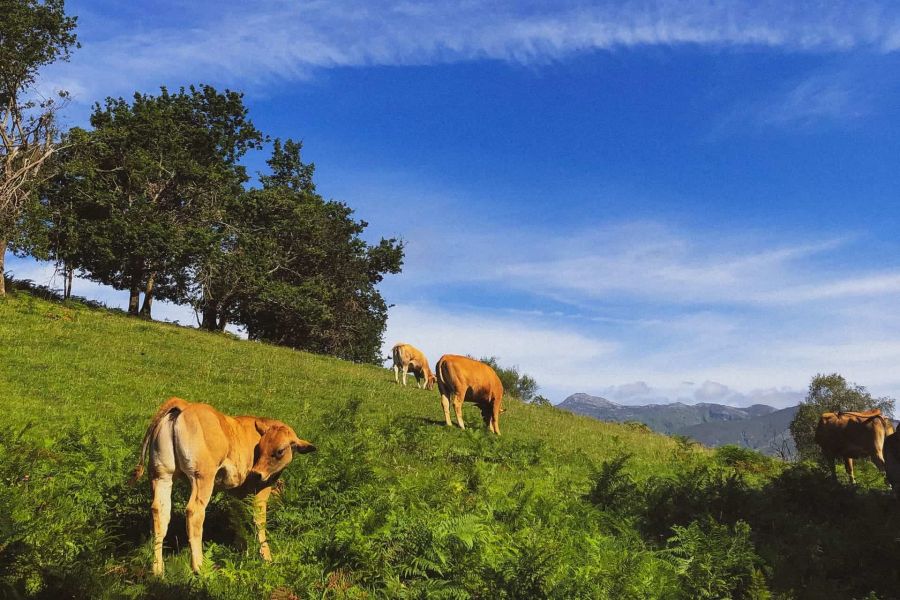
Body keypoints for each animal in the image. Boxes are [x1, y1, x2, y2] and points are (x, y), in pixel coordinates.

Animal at [131, 397, 316, 576]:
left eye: (279, 451)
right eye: (261, 448)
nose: (256, 473)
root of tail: (185, 404)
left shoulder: (235, 491)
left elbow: (237, 518)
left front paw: (241, 549)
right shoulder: (262, 487)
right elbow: (259, 520)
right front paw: (266, 557)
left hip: (162, 475)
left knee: (159, 513)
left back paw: (157, 569)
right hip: (202, 477)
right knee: (194, 512)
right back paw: (199, 567)